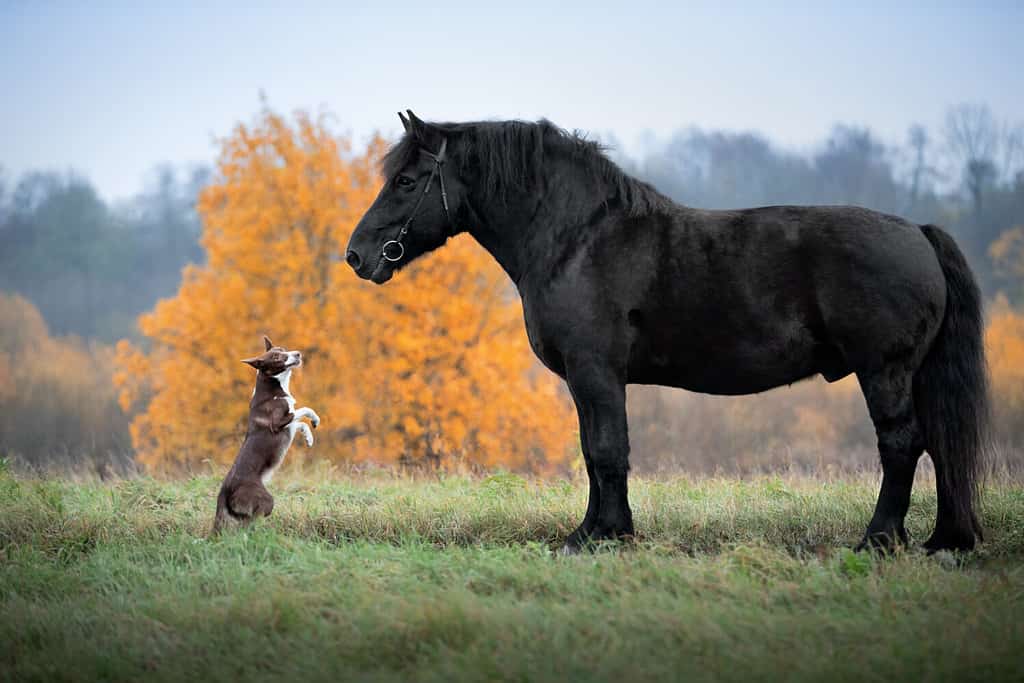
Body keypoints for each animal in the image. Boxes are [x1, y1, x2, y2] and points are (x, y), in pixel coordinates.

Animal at [209, 335, 317, 532]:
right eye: (276, 357)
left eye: (283, 349)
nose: (298, 353)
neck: (273, 385)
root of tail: (224, 492)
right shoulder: (278, 422)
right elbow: (304, 410)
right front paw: (315, 419)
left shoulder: (287, 425)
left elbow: (300, 424)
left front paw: (309, 437)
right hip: (266, 501)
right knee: (254, 519)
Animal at [348, 109, 987, 552]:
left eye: (407, 181)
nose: (357, 255)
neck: (577, 238)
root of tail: (918, 232)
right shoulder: (589, 380)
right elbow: (594, 452)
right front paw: (596, 530)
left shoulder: (595, 372)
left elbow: (608, 450)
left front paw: (604, 536)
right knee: (936, 444)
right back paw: (941, 539)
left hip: (885, 372)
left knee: (902, 444)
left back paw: (878, 540)